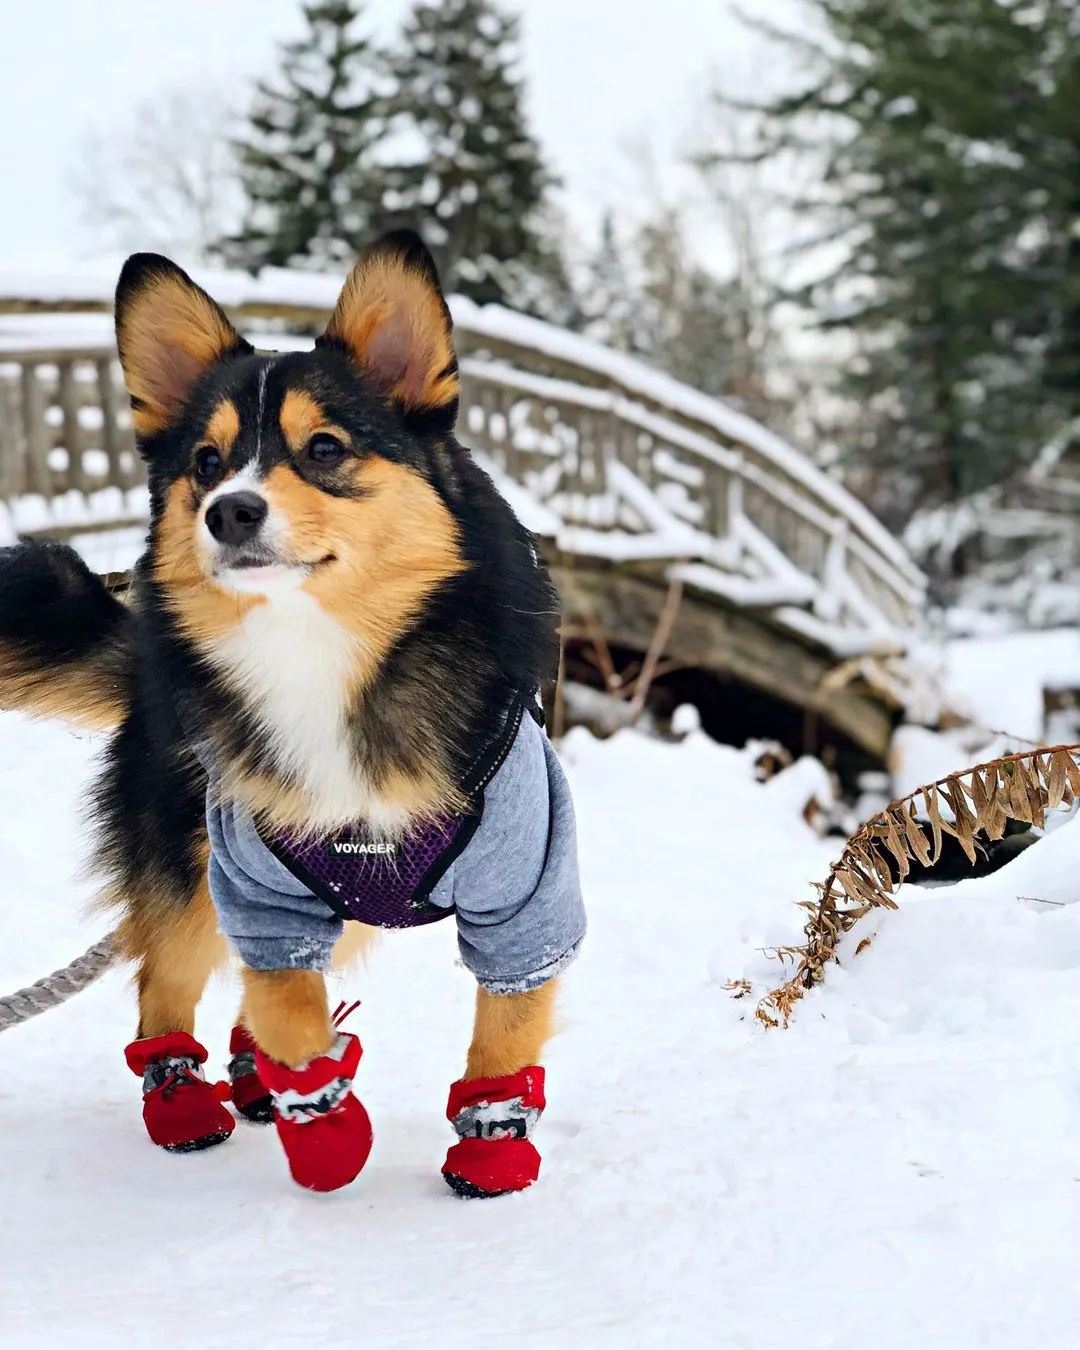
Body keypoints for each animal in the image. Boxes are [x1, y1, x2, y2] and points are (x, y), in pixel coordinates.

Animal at [0, 232, 585, 1193]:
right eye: (205, 462)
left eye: (324, 448)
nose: (229, 510)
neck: (318, 649)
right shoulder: (256, 879)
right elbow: (286, 1005)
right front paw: (324, 1126)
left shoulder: (526, 888)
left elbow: (506, 1023)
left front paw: (492, 1146)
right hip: (187, 868)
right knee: (169, 987)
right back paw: (191, 1101)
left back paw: (252, 1084)